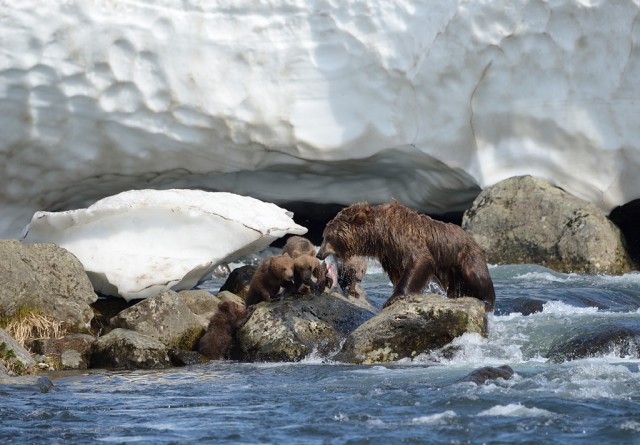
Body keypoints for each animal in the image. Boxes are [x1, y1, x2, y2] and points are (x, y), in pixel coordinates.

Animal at [318, 199, 496, 310]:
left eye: (328, 237)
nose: (319, 254)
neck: (380, 234)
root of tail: (472, 238)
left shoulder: (405, 238)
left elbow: (420, 261)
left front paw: (393, 298)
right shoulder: (389, 254)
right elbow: (398, 272)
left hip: (465, 258)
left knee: (478, 278)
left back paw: (487, 302)